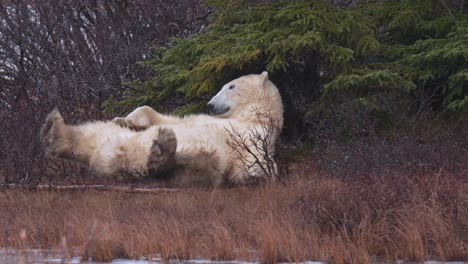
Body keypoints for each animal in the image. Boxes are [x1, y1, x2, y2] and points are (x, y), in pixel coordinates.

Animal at [41, 72, 282, 188]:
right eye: (224, 85)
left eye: (231, 86)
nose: (210, 105)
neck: (248, 117)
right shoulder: (183, 120)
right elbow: (160, 116)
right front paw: (126, 119)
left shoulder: (255, 136)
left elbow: (257, 166)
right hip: (108, 137)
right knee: (91, 133)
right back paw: (55, 130)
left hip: (203, 160)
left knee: (199, 162)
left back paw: (163, 153)